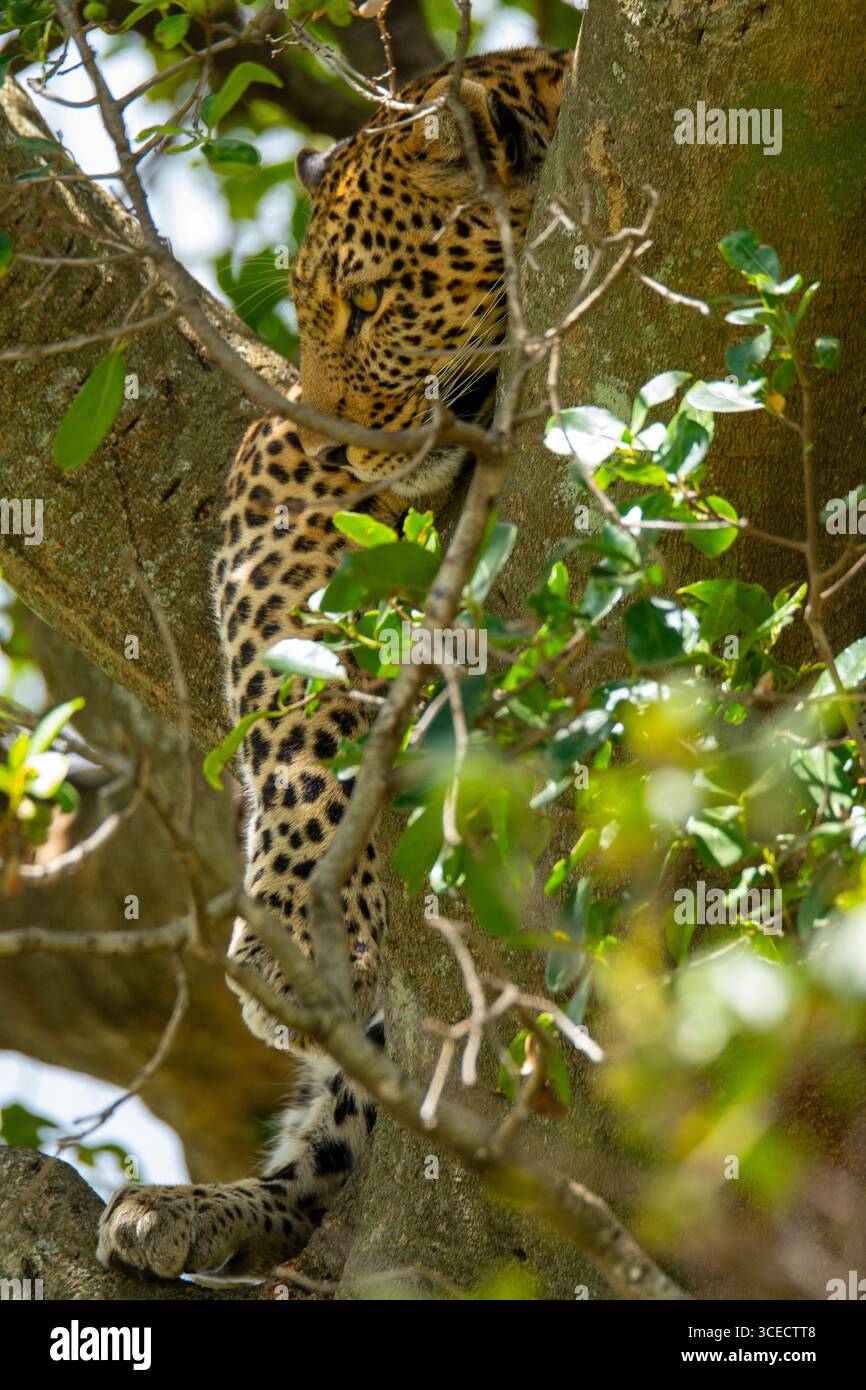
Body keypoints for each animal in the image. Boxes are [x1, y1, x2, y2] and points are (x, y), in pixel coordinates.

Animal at [97, 44, 571, 1282]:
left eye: (370, 301)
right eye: (305, 311)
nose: (330, 428)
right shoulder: (280, 470)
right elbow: (291, 698)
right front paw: (295, 933)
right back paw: (198, 1208)